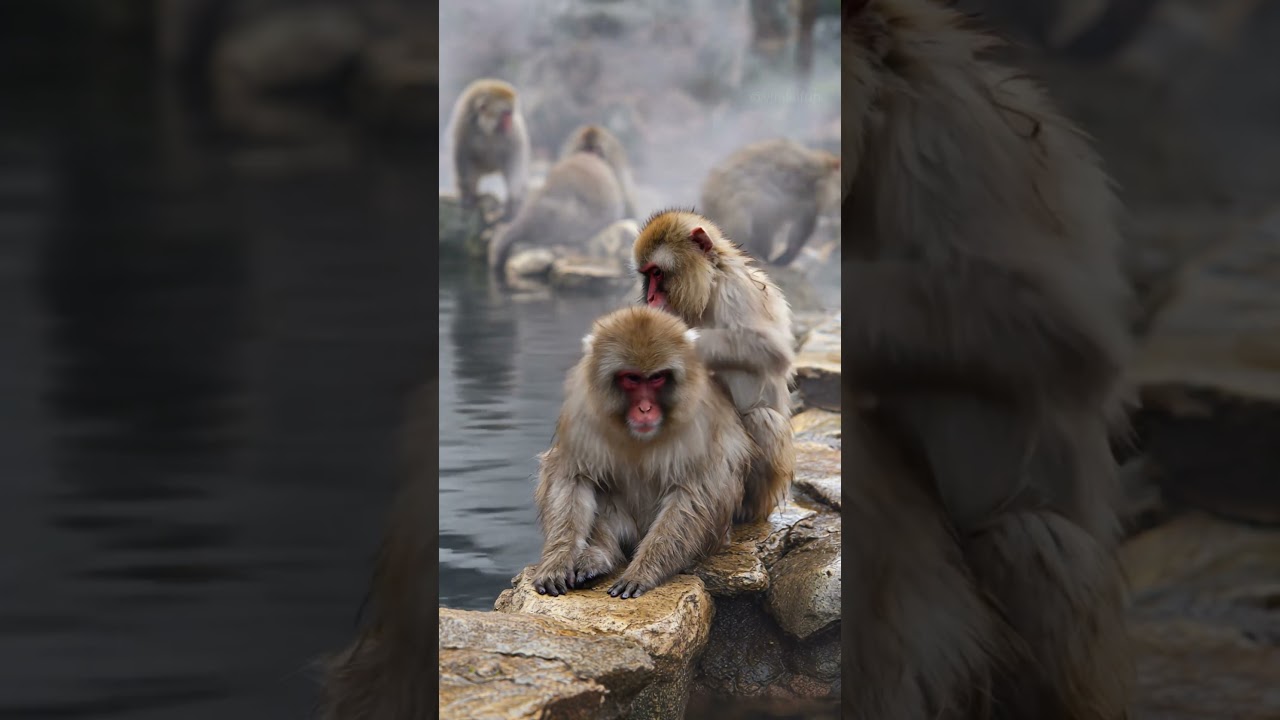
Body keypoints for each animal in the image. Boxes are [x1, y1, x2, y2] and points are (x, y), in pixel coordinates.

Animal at [447, 78, 530, 221]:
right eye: (506, 114)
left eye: (511, 114)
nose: (510, 124)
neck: (487, 129)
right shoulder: (463, 125)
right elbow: (462, 156)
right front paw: (467, 196)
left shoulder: (514, 133)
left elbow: (514, 158)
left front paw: (513, 200)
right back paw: (476, 196)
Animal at [529, 306, 753, 599]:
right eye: (632, 378)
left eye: (656, 378)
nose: (645, 409)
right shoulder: (582, 409)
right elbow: (573, 477)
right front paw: (555, 563)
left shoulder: (701, 421)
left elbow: (695, 494)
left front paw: (642, 573)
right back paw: (598, 557)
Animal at [632, 210, 795, 524]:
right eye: (647, 276)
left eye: (658, 273)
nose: (651, 298)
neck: (708, 288)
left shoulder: (736, 291)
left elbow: (771, 349)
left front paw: (686, 341)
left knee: (762, 418)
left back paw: (744, 510)